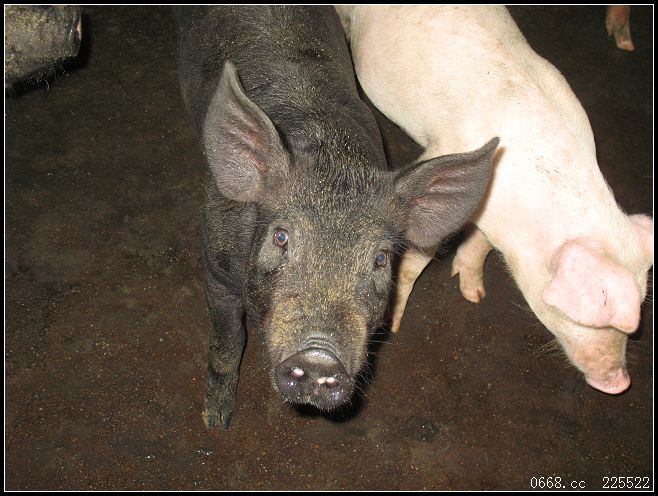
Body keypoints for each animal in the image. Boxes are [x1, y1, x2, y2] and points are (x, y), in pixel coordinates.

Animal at [173, 6, 498, 428]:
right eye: (281, 237)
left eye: (380, 259)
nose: (318, 357)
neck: (332, 156)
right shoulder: (215, 267)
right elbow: (228, 341)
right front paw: (215, 422)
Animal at [337, 5, 653, 395]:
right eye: (589, 318)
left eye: (641, 304)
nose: (620, 385)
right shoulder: (443, 155)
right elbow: (417, 256)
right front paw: (394, 325)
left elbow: (480, 246)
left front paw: (474, 295)